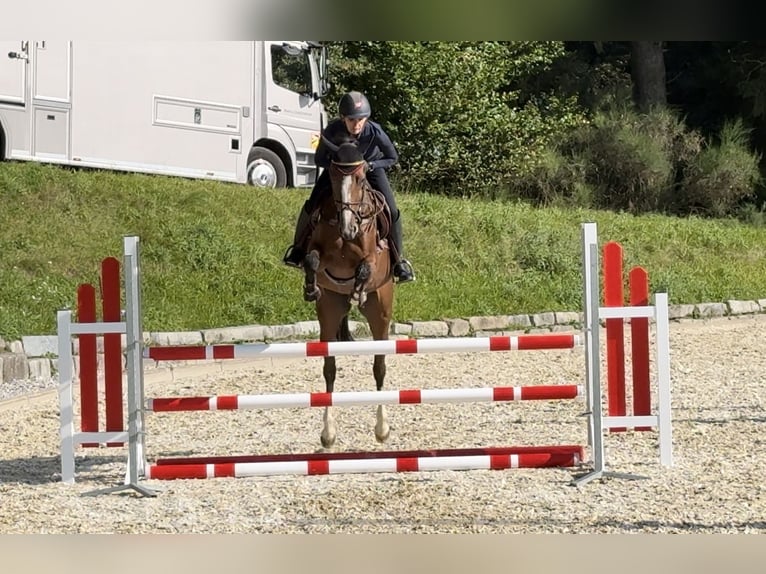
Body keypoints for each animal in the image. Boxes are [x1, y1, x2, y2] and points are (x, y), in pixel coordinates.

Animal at [302, 137, 396, 452]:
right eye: (332, 176)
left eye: (360, 177)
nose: (348, 227)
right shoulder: (317, 249)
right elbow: (312, 259)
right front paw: (310, 287)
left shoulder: (372, 257)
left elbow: (365, 268)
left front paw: (358, 290)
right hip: (329, 311)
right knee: (329, 368)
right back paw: (328, 433)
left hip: (381, 314)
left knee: (379, 367)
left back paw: (382, 429)